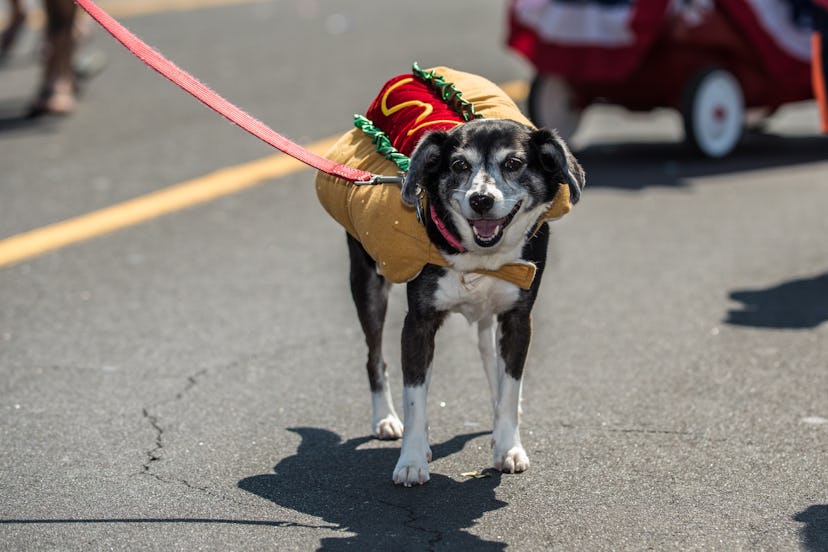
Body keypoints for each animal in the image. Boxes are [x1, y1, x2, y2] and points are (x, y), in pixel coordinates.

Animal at [316, 66, 584, 488]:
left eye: (514, 163)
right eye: (458, 166)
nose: (481, 200)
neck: (480, 257)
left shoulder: (518, 318)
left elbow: (509, 387)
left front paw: (508, 446)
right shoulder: (418, 324)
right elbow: (415, 397)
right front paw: (411, 459)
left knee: (491, 361)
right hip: (367, 282)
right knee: (375, 356)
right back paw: (385, 419)